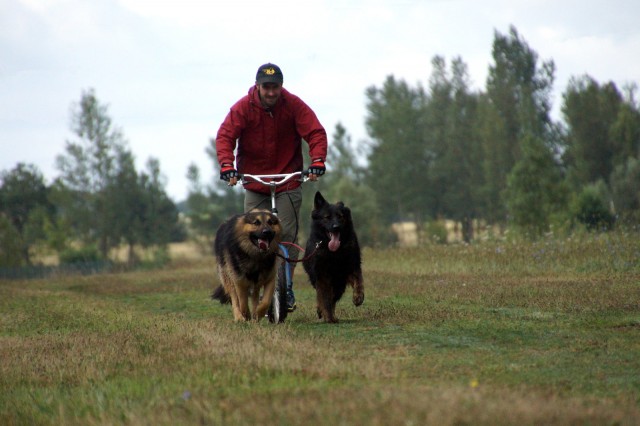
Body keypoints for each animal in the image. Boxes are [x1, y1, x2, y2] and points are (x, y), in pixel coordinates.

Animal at [302, 191, 362, 322]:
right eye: (327, 217)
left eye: (340, 216)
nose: (336, 227)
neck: (334, 253)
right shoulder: (322, 275)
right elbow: (325, 298)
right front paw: (328, 317)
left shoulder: (351, 266)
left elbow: (359, 280)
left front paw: (358, 297)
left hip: (339, 284)